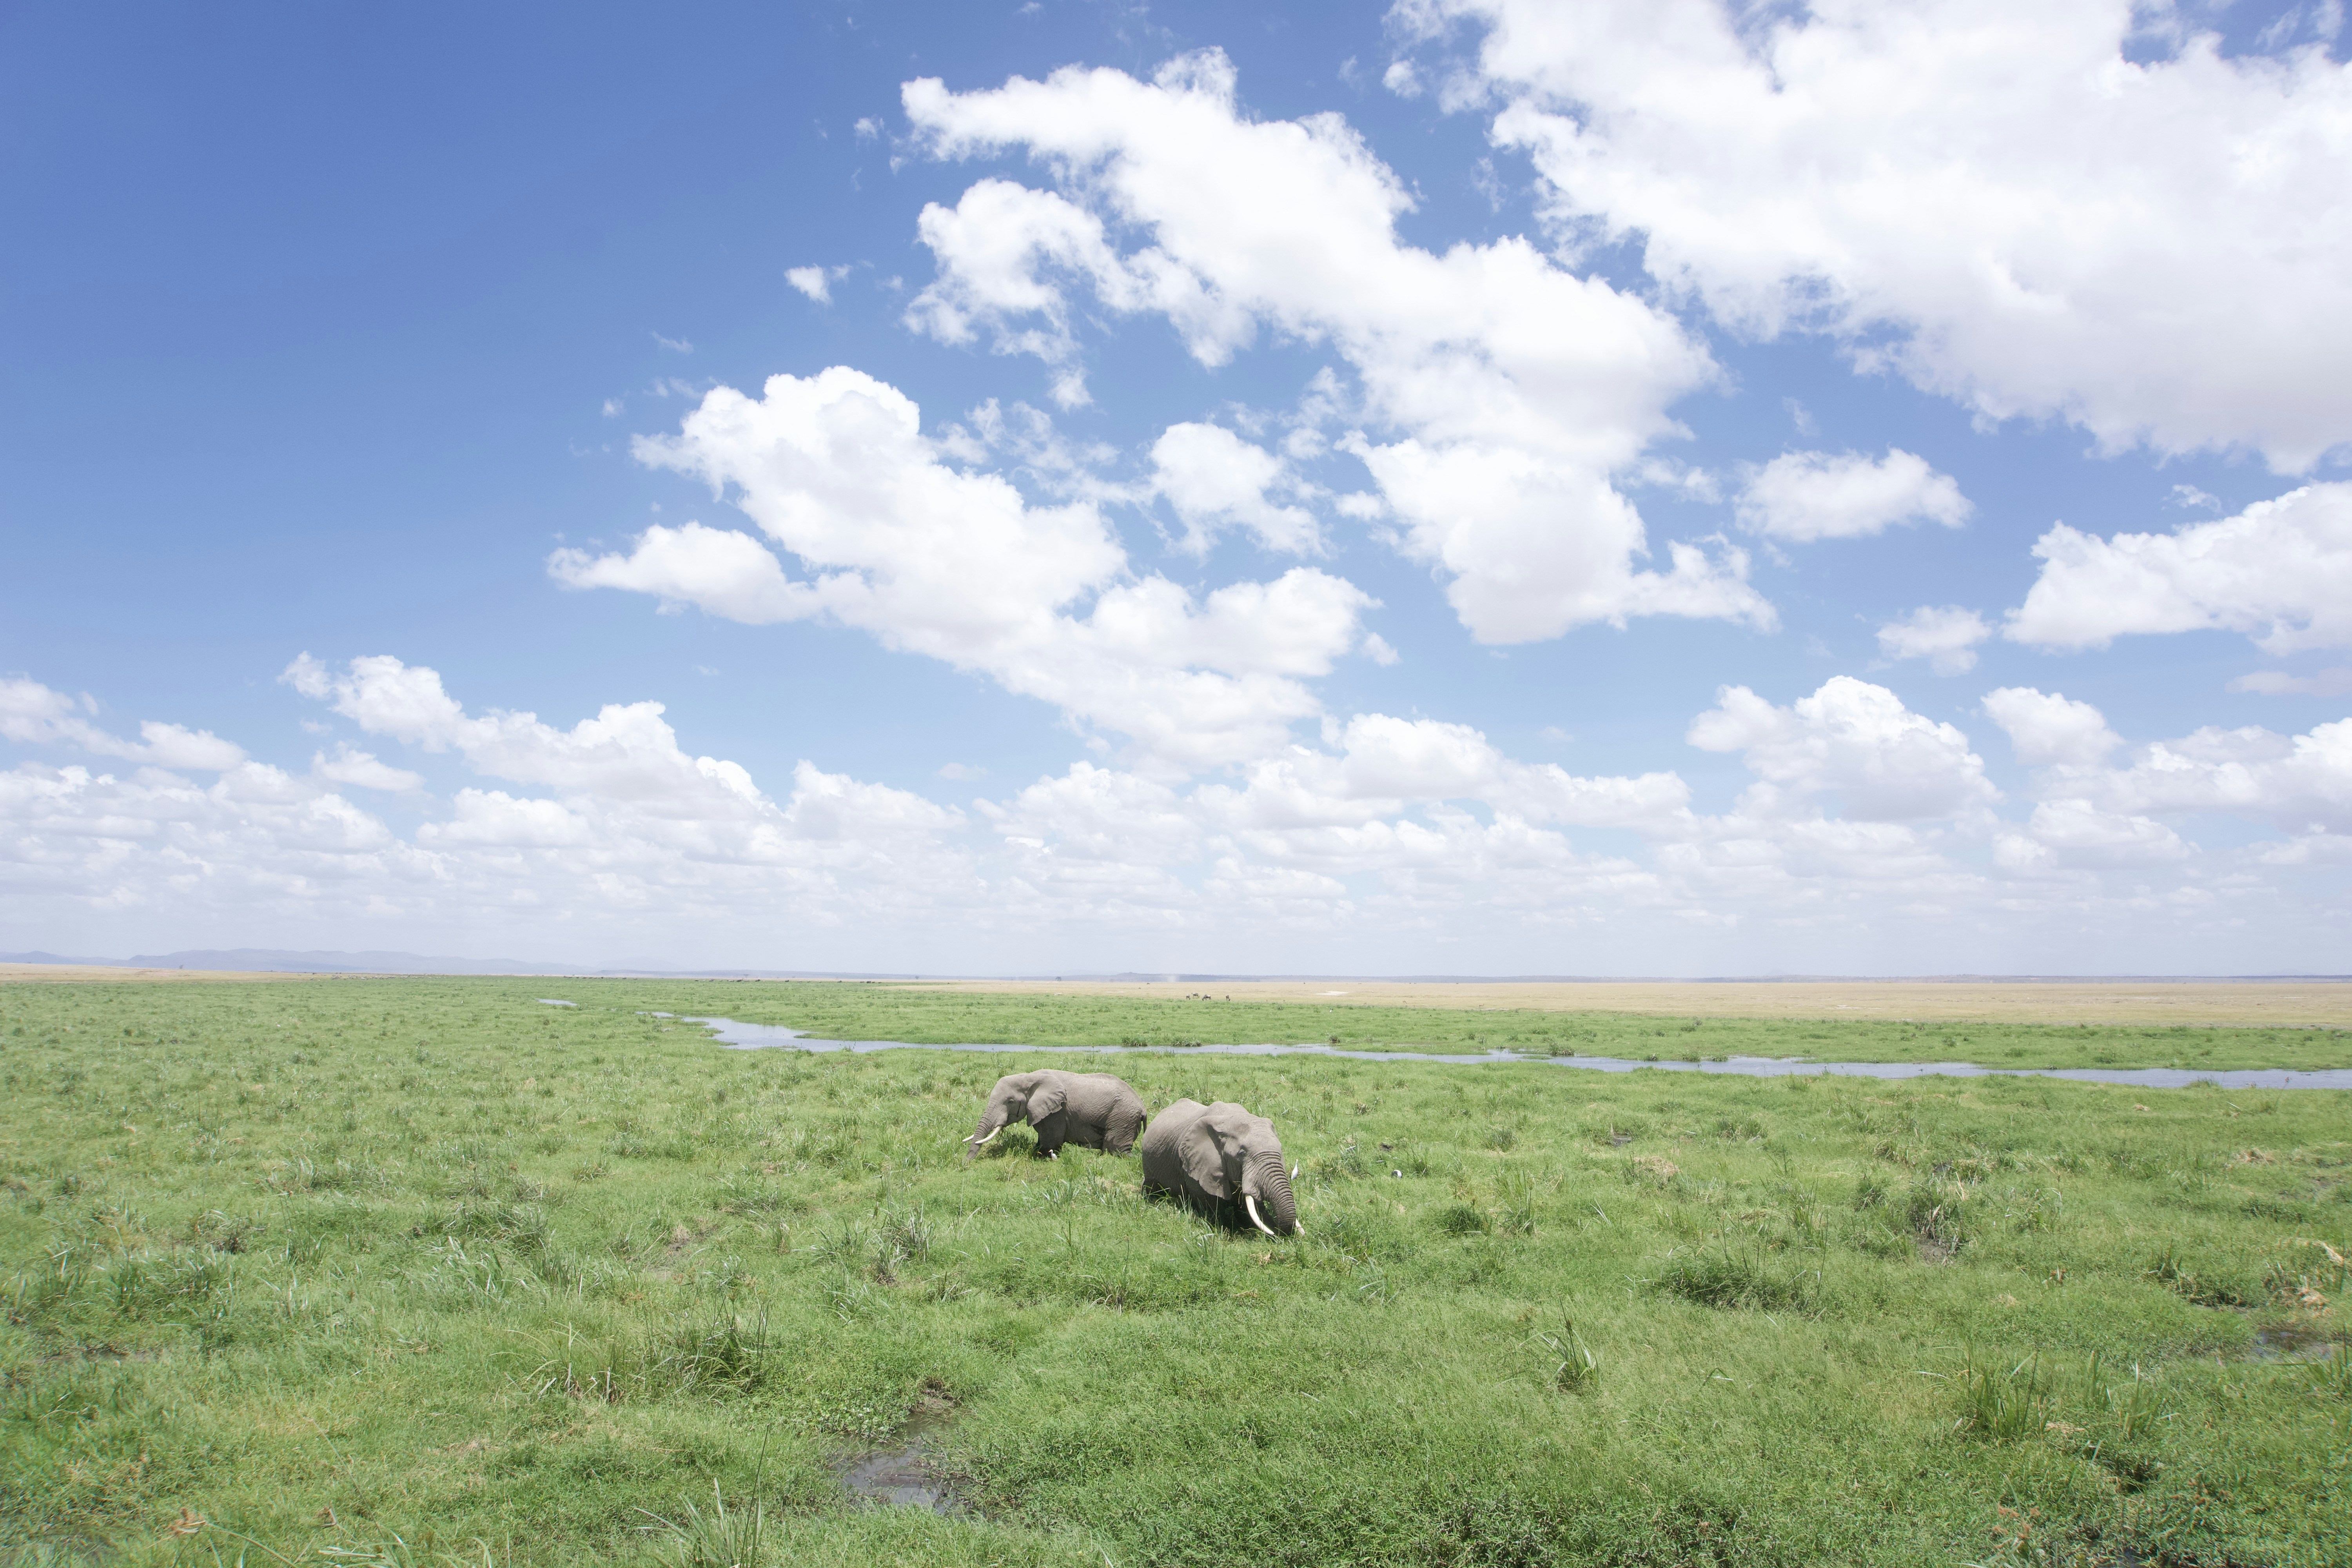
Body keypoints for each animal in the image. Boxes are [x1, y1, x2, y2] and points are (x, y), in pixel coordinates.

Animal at [964, 1069, 1147, 1159]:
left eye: (1010, 1102)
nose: (965, 1163)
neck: (1029, 1077)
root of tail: (1143, 1109)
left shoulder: (1057, 1112)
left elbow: (1051, 1141)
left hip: (1122, 1118)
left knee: (1116, 1149)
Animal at [1138, 1098, 1301, 1237]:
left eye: (1281, 1150)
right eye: (1242, 1154)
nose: (1276, 1232)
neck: (1231, 1119)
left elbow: (1246, 1206)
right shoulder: (1195, 1166)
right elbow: (1211, 1205)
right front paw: (1226, 1230)